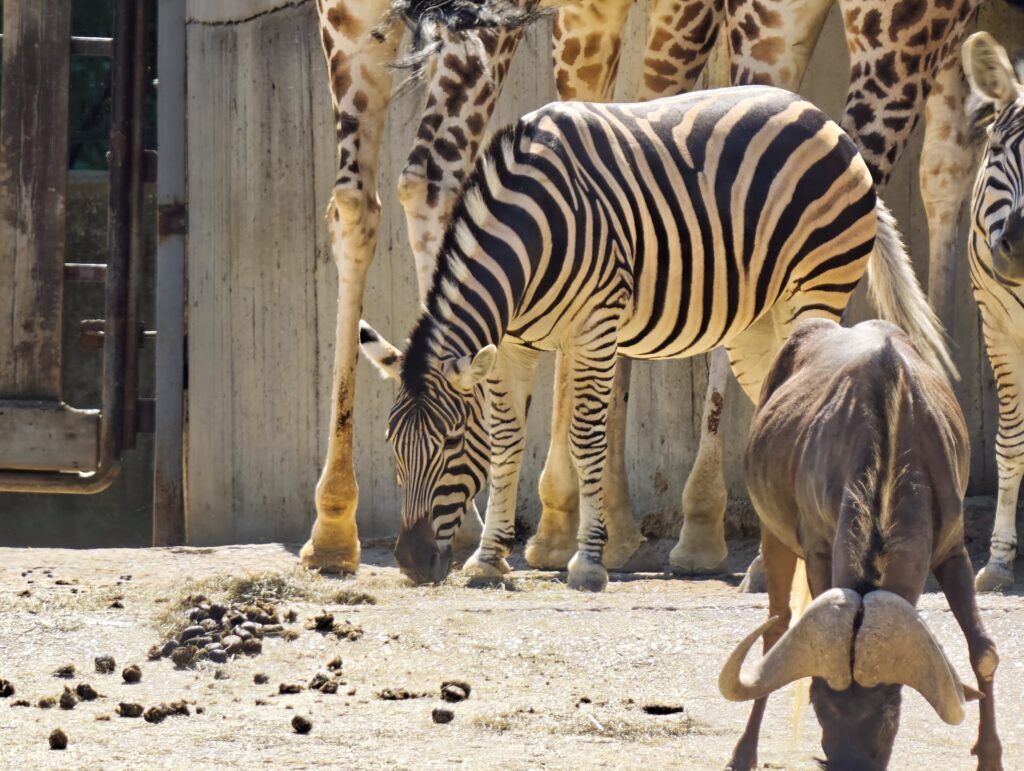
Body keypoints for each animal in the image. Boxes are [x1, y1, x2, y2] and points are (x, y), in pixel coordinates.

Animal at [360, 85, 955, 590]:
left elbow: (587, 440)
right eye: (391, 444)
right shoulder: (511, 346)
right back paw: (767, 569)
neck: (529, 232)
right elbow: (507, 443)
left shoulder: (595, 328)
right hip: (756, 326)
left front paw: (589, 562)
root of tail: (823, 118)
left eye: (450, 444)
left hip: (815, 286)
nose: (411, 562)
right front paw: (488, 559)